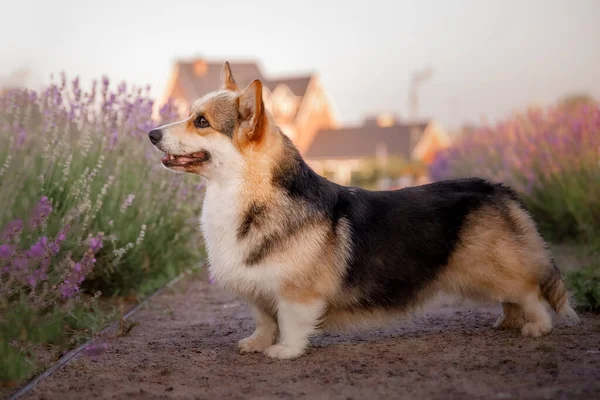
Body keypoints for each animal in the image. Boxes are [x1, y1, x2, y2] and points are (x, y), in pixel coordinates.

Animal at [148, 61, 580, 360]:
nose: (150, 134)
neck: (242, 193)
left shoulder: (296, 292)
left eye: (201, 121)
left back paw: (536, 328)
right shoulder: (259, 291)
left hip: (494, 270)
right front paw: (256, 343)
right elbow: (264, 319)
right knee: (515, 298)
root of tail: (499, 188)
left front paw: (284, 352)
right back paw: (507, 322)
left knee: (530, 293)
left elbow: (289, 321)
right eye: (191, 114)